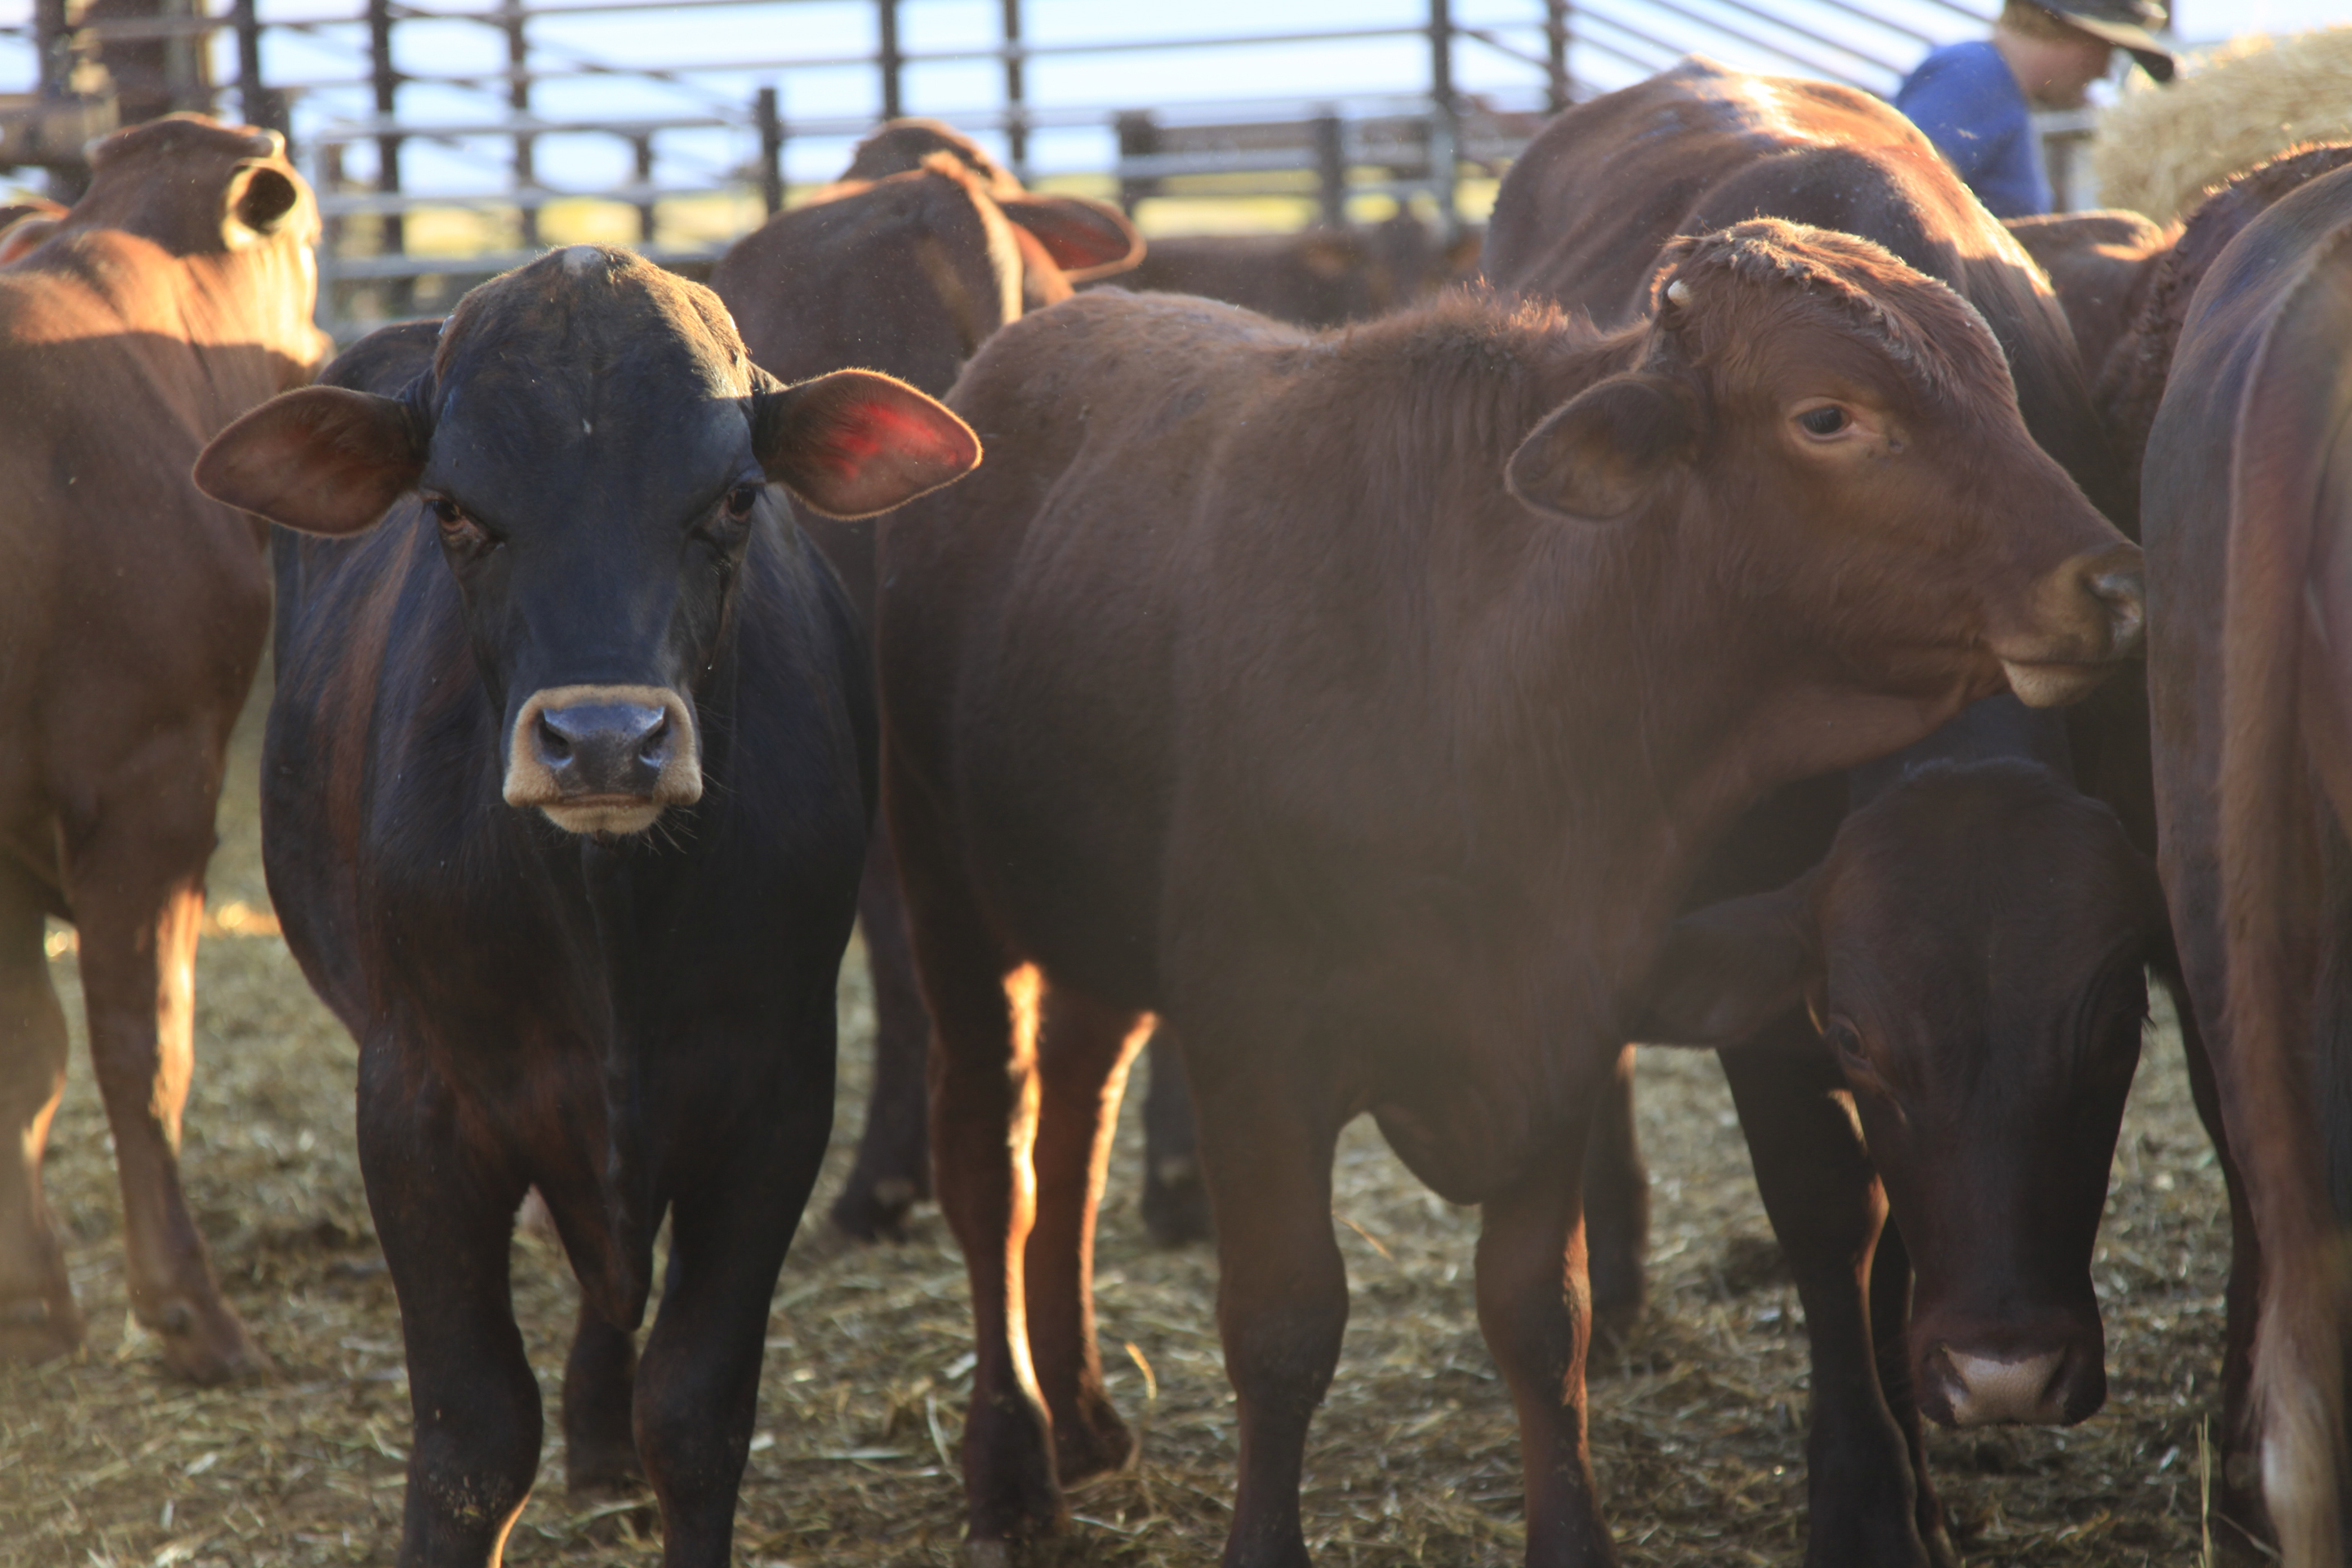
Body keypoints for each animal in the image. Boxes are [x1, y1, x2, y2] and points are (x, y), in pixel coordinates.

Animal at [190, 245, 979, 1566]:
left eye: (737, 498)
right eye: (454, 508)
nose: (605, 740)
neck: (608, 914)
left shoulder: (772, 1103)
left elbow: (696, 1413)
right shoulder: (416, 1106)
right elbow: (473, 1438)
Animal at [875, 219, 2142, 1564]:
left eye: (1999, 388)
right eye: (1827, 416)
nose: (2114, 582)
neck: (1477, 669)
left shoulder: (1565, 1016)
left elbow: (1542, 1315)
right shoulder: (1253, 1052)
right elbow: (1283, 1328)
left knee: (1073, 1126)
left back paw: (1078, 1411)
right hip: (947, 898)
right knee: (991, 1161)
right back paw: (1012, 1458)